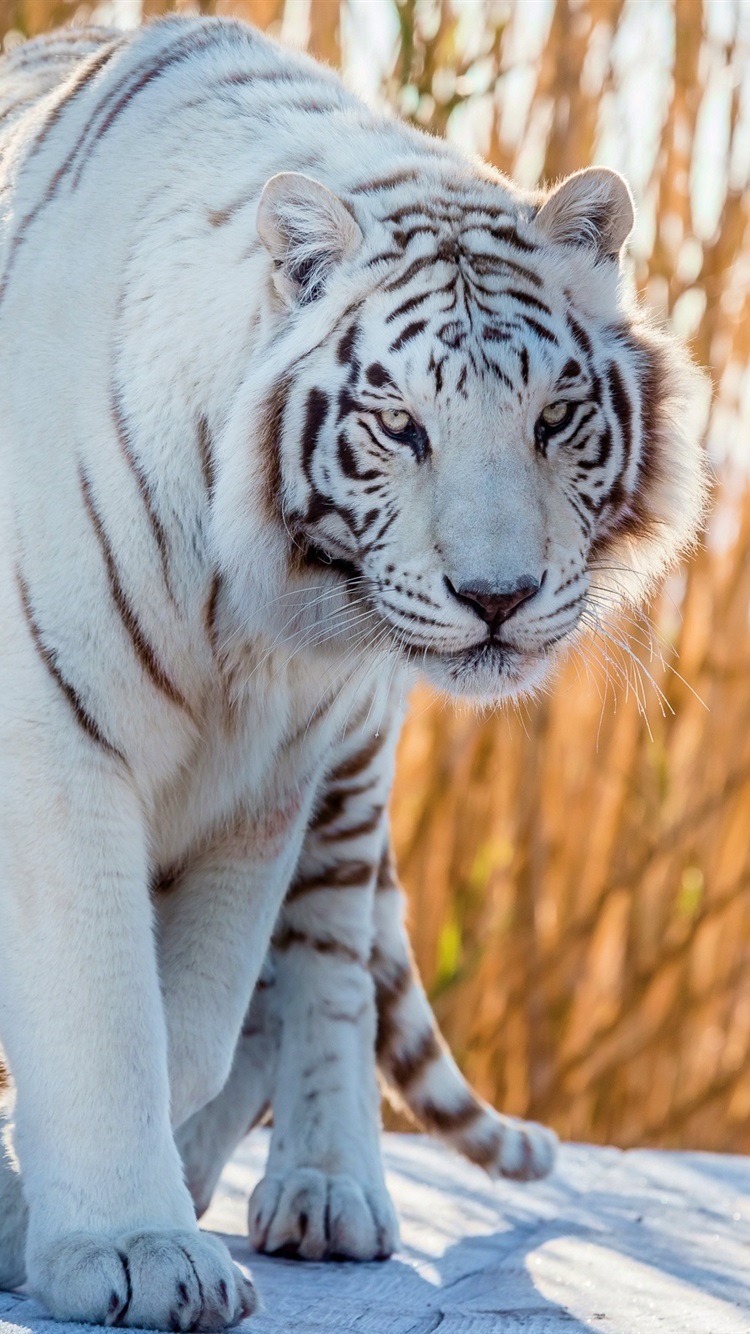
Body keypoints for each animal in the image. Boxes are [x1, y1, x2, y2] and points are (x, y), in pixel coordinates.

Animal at [0, 14, 707, 1331]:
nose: (498, 596)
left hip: (350, 778)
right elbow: (103, 1006)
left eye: (553, 418)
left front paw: (60, 1217)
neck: (248, 611)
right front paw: (132, 1244)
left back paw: (325, 1190)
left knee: (324, 970)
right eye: (399, 424)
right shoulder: (55, 737)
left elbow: (189, 1027)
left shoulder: (263, 787)